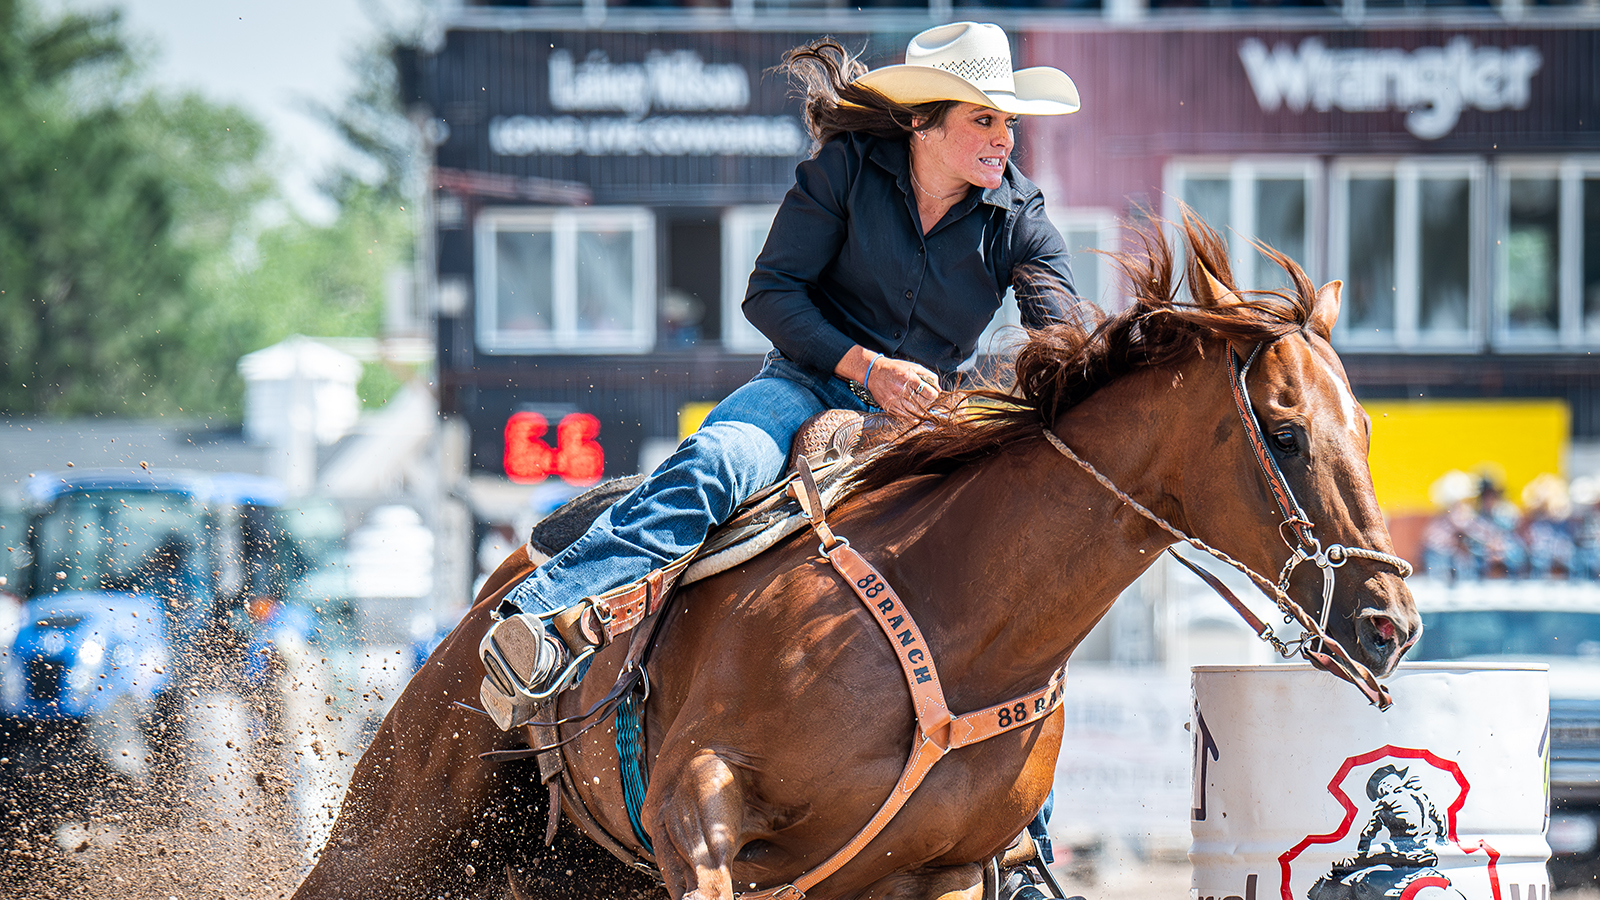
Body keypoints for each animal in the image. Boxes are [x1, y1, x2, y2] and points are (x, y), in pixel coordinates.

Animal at [294, 217, 1420, 896]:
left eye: (1368, 427)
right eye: (1285, 432)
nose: (1391, 624)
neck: (955, 618)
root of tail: (492, 595)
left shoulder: (943, 872)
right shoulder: (694, 812)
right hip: (395, 826)